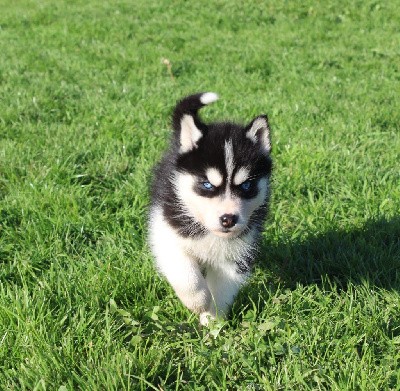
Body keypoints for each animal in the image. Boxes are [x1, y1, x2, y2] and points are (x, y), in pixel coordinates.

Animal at [148, 93, 274, 326]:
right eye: (207, 185)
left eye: (246, 186)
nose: (228, 219)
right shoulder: (166, 234)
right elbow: (185, 273)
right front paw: (198, 300)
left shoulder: (237, 253)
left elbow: (223, 289)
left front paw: (213, 319)